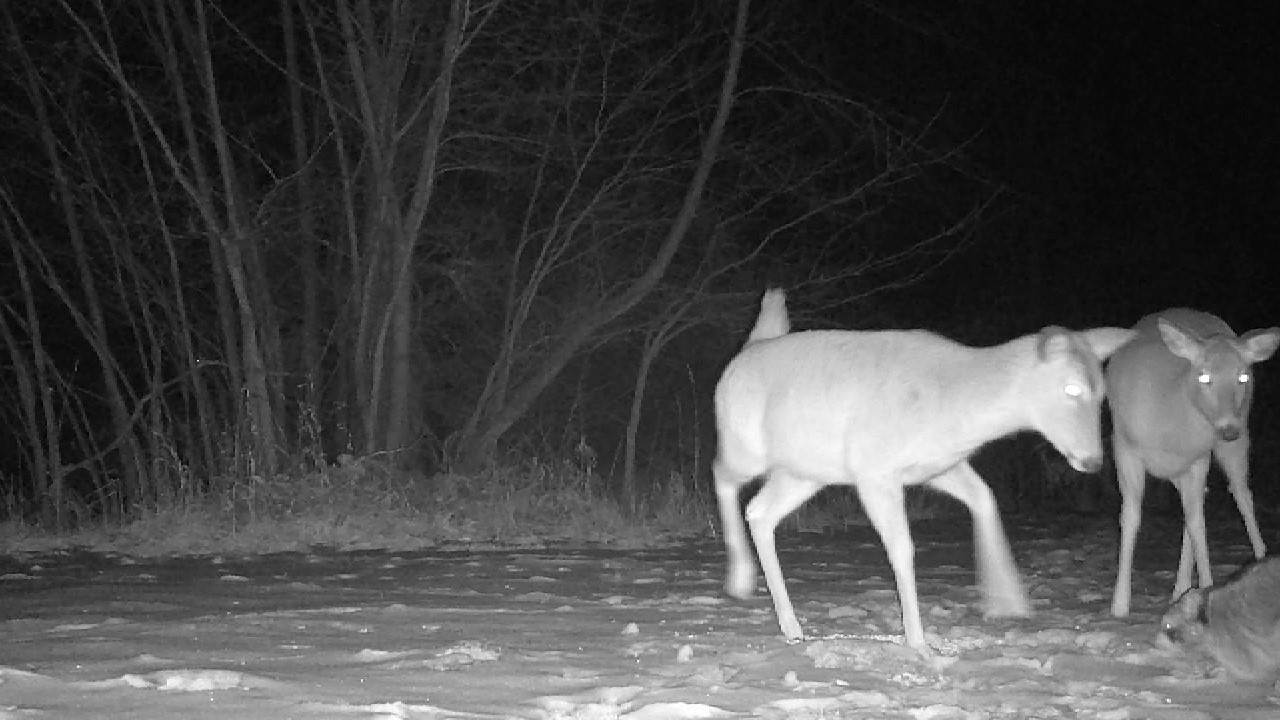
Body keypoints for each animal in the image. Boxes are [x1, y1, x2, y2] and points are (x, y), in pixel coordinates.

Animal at [713, 288, 1135, 652]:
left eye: (1103, 392)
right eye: (1072, 389)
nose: (1093, 461)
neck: (954, 404)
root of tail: (747, 349)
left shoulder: (940, 466)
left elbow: (985, 498)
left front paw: (1007, 600)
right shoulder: (875, 470)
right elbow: (902, 548)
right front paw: (918, 641)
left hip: (806, 470)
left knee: (760, 512)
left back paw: (790, 624)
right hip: (746, 447)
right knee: (721, 476)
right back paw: (740, 578)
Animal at [1106, 308, 1279, 618]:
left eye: (1243, 376)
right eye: (1204, 376)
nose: (1228, 429)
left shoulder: (1198, 459)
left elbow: (1198, 523)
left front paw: (1208, 587)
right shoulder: (1125, 449)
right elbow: (1130, 517)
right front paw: (1119, 603)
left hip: (1232, 442)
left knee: (1241, 495)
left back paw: (1260, 558)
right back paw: (1180, 589)